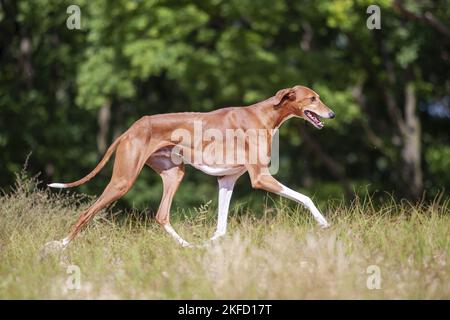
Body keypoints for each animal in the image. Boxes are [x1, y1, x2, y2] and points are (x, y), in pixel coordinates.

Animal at [46, 85, 334, 248]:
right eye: (312, 99)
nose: (331, 114)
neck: (264, 114)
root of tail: (130, 128)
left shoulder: (227, 179)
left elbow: (221, 227)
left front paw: (209, 246)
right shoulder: (261, 177)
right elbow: (306, 198)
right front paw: (324, 224)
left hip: (175, 174)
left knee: (161, 215)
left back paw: (187, 246)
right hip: (122, 181)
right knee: (86, 213)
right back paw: (60, 246)